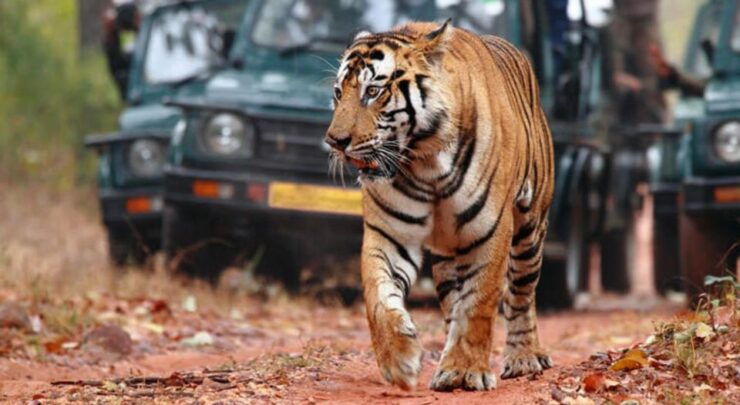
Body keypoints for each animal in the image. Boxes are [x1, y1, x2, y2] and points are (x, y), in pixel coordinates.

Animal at [325, 19, 555, 391]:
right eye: (337, 92)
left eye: (373, 91)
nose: (334, 142)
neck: (425, 161)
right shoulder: (388, 234)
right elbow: (378, 297)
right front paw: (399, 360)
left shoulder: (490, 232)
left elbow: (479, 302)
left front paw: (466, 370)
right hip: (449, 253)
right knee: (452, 302)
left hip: (530, 229)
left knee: (521, 294)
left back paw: (524, 358)